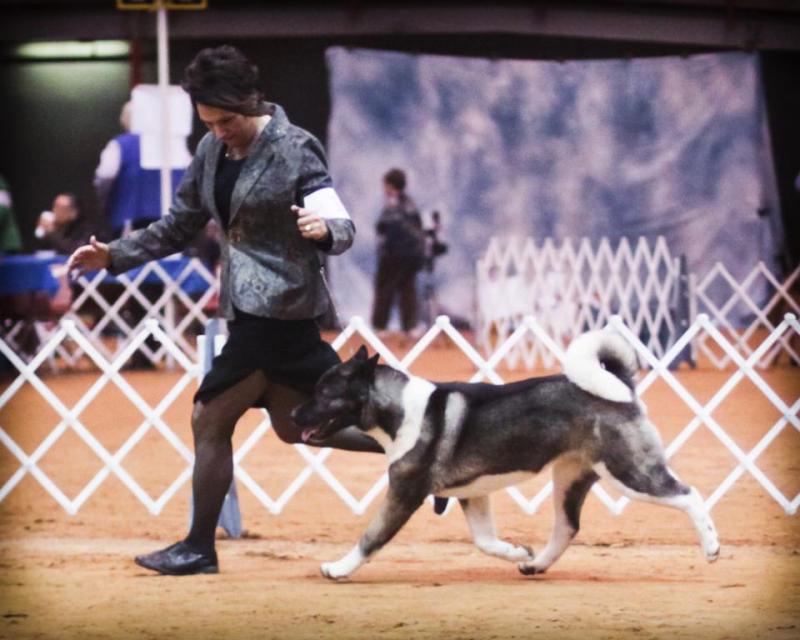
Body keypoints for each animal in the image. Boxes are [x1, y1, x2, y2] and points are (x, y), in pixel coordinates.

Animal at [291, 329, 720, 580]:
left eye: (324, 393)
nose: (294, 415)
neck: (398, 409)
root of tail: (622, 389)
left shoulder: (404, 493)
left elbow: (371, 536)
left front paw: (338, 568)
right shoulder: (471, 493)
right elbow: (485, 540)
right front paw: (516, 550)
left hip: (628, 471)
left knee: (688, 495)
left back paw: (712, 547)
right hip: (571, 478)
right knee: (567, 527)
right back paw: (535, 564)